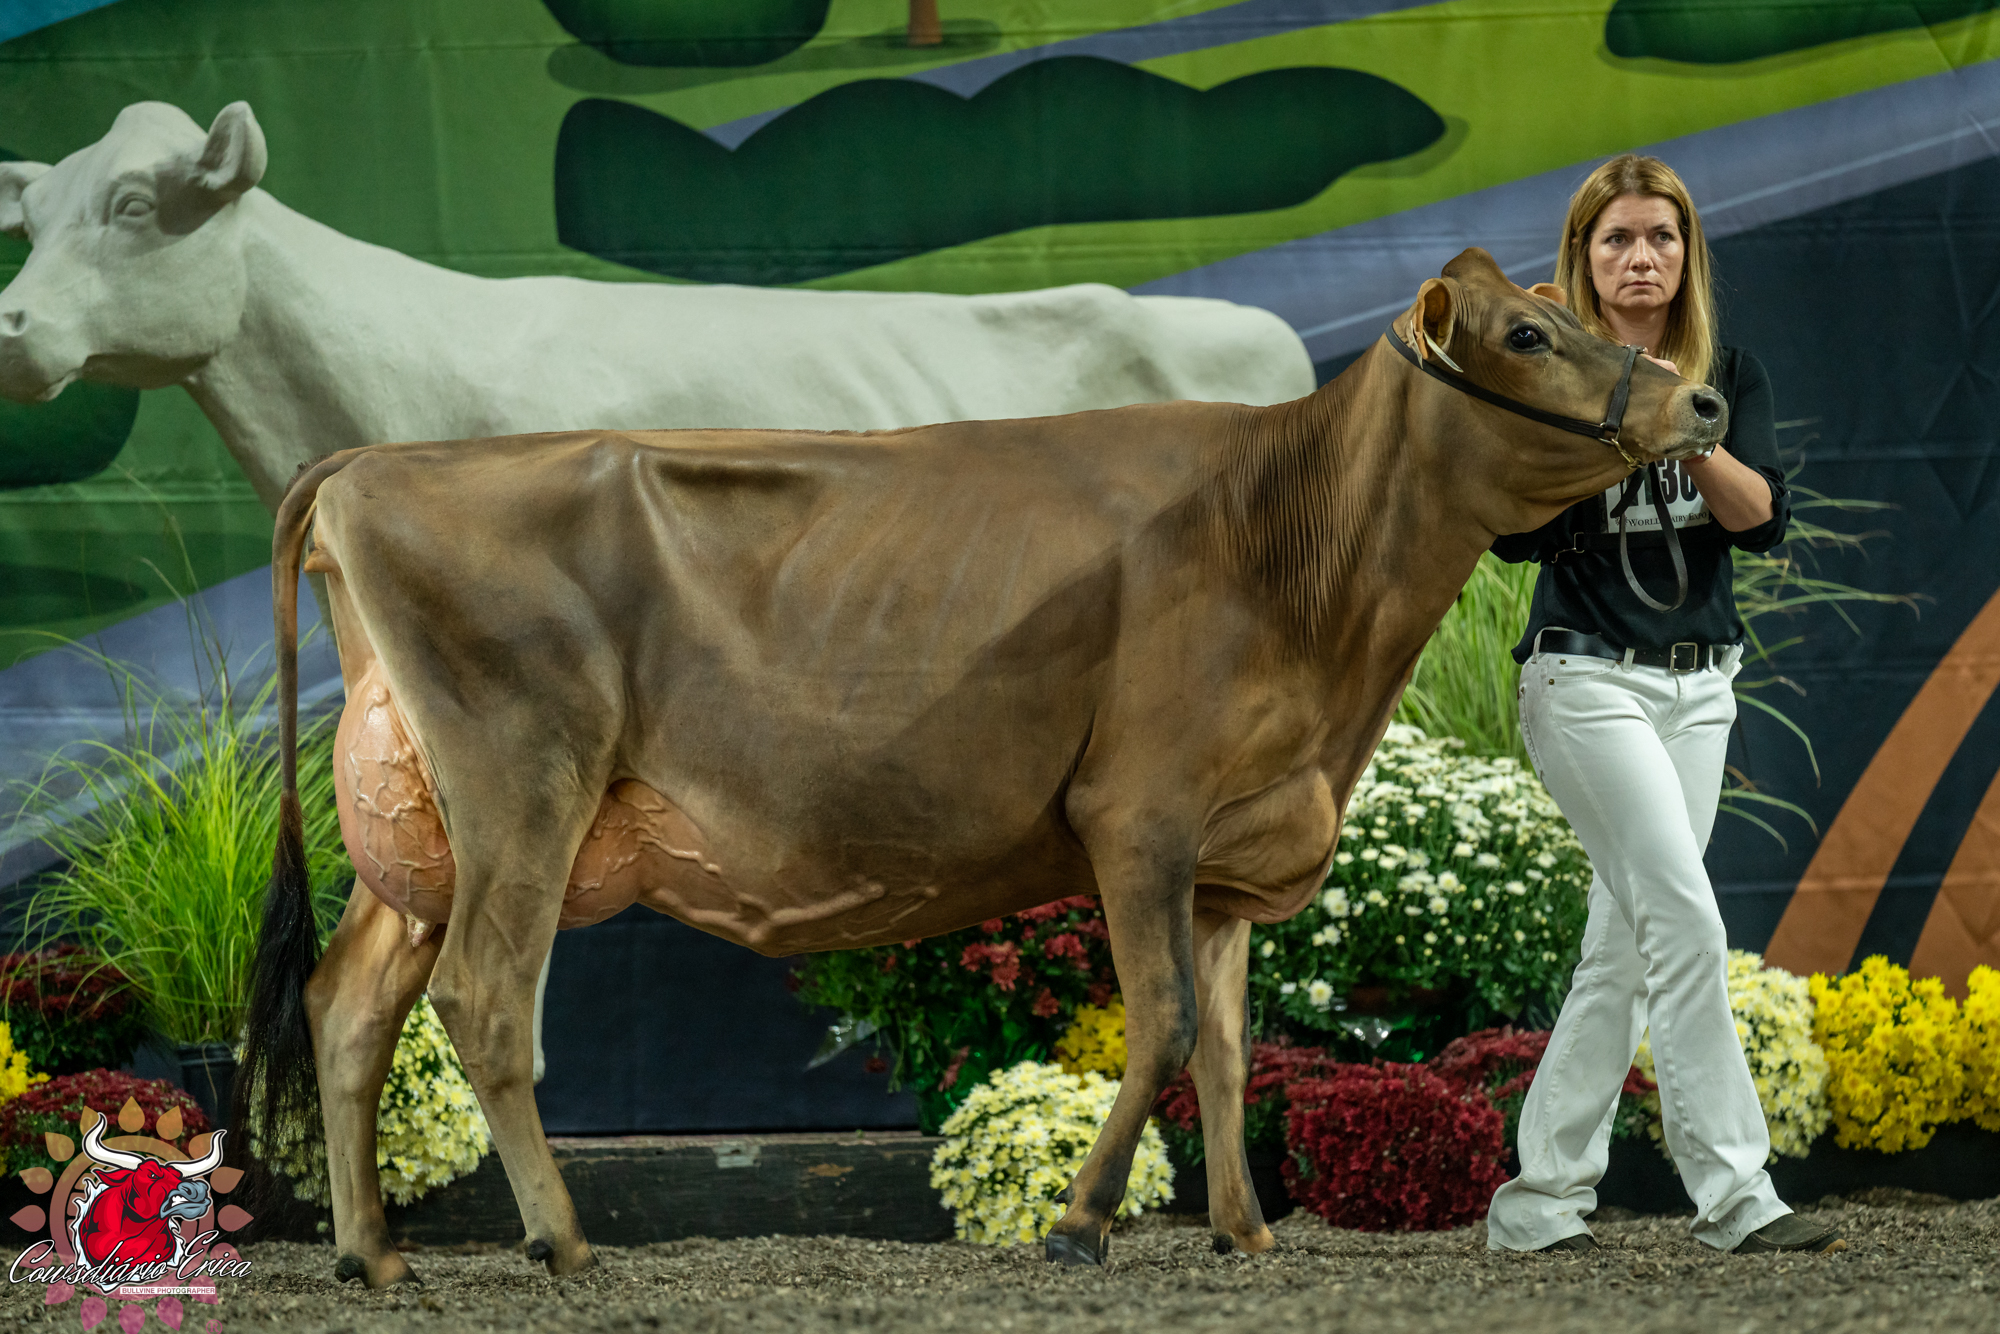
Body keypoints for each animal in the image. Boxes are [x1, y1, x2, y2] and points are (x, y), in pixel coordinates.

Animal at [239, 248, 1726, 1286]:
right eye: (1528, 331)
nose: (1701, 394)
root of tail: (372, 463)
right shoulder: (1138, 812)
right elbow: (1166, 1023)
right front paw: (1078, 1220)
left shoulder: (1231, 850)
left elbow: (1232, 1043)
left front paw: (1242, 1229)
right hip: (521, 785)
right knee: (484, 1000)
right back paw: (560, 1241)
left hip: (421, 835)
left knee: (349, 1004)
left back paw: (371, 1252)